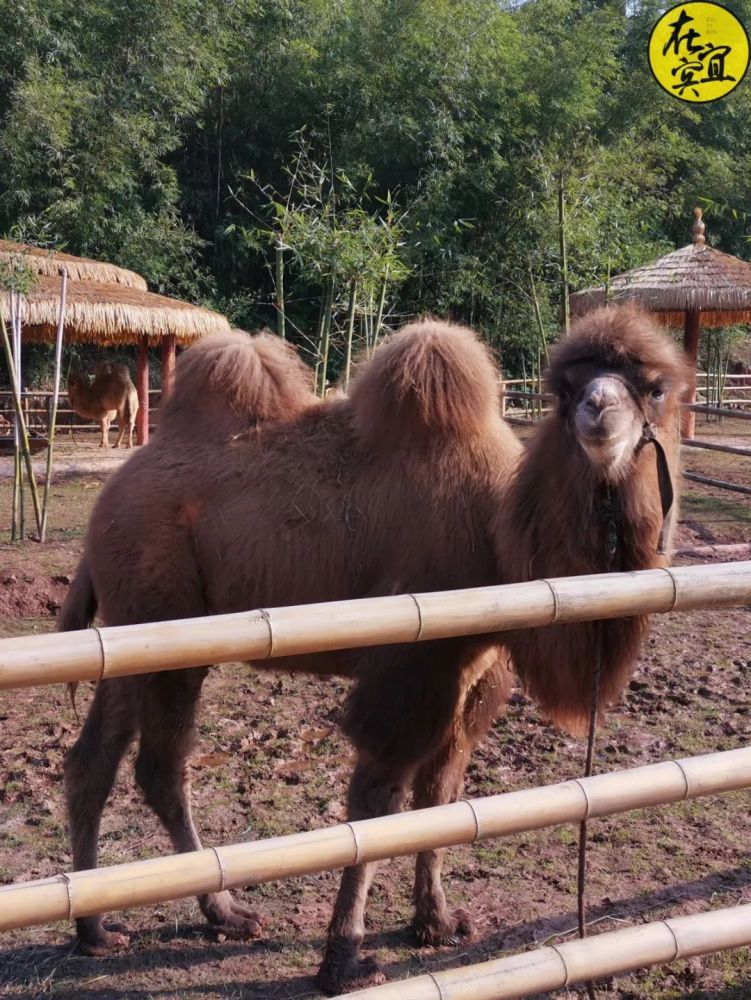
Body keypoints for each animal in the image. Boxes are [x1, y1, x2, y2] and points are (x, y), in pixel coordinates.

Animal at [55, 304, 684, 992]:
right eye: (564, 390)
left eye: (655, 389)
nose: (598, 411)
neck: (498, 536)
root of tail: (105, 504)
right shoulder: (411, 664)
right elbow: (377, 804)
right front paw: (344, 957)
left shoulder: (475, 671)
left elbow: (442, 794)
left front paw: (437, 921)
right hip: (167, 625)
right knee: (161, 767)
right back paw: (221, 911)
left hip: (132, 636)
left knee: (97, 758)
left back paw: (99, 929)